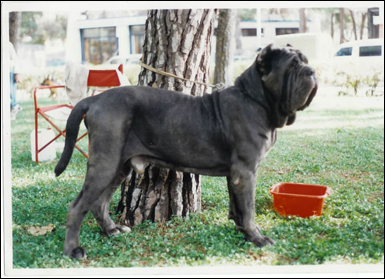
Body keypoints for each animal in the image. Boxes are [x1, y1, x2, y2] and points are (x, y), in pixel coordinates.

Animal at [55, 44, 316, 260]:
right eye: (293, 65)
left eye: (305, 60)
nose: (312, 71)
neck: (256, 99)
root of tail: (94, 100)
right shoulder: (245, 172)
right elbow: (249, 209)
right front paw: (257, 238)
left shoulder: (236, 174)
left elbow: (238, 206)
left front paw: (242, 230)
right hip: (106, 162)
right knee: (77, 207)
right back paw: (73, 250)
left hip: (120, 166)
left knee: (99, 203)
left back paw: (112, 230)